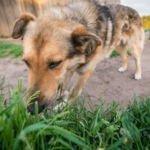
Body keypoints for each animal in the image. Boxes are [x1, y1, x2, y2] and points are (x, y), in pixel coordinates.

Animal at [11, 0, 144, 112]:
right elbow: (63, 86)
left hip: (133, 46)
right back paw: (123, 68)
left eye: (55, 63)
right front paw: (59, 97)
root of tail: (134, 10)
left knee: (137, 59)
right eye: (26, 62)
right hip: (117, 45)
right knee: (126, 57)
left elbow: (73, 93)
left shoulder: (85, 72)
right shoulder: (68, 68)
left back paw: (138, 74)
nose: (32, 109)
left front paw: (62, 107)